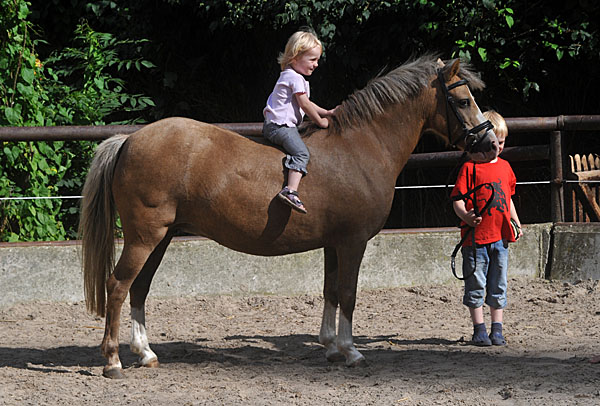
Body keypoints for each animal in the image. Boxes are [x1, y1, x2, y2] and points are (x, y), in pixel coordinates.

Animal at [82, 54, 500, 378]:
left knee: (139, 288)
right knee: (118, 286)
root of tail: (130, 140)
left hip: (161, 237)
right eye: (463, 100)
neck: (361, 147)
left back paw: (145, 354)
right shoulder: (353, 242)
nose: (491, 143)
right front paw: (351, 351)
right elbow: (348, 294)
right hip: (144, 237)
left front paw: (331, 347)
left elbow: (330, 291)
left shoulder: (334, 244)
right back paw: (113, 361)